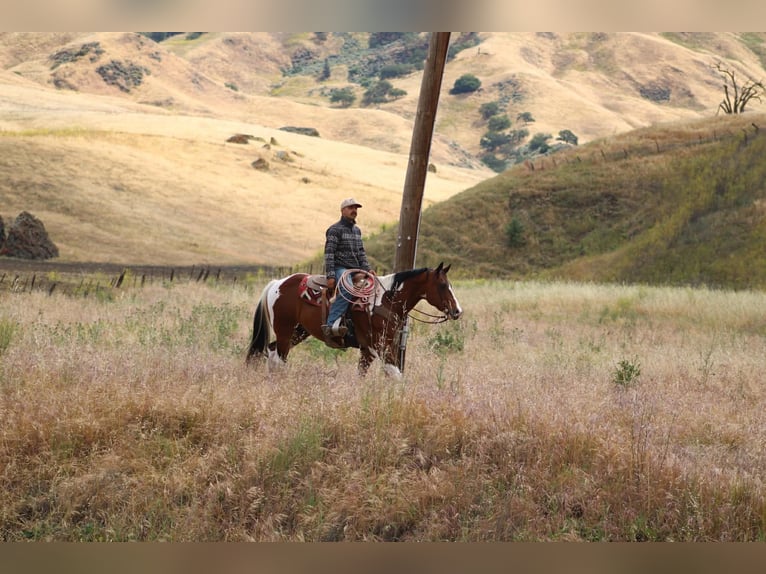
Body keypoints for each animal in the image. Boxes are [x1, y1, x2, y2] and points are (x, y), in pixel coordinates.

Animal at [246, 262, 462, 378]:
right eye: (443, 285)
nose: (457, 311)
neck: (387, 299)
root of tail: (278, 283)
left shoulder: (369, 350)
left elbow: (363, 375)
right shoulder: (380, 346)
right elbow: (396, 375)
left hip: (298, 332)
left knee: (272, 351)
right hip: (285, 330)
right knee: (279, 357)